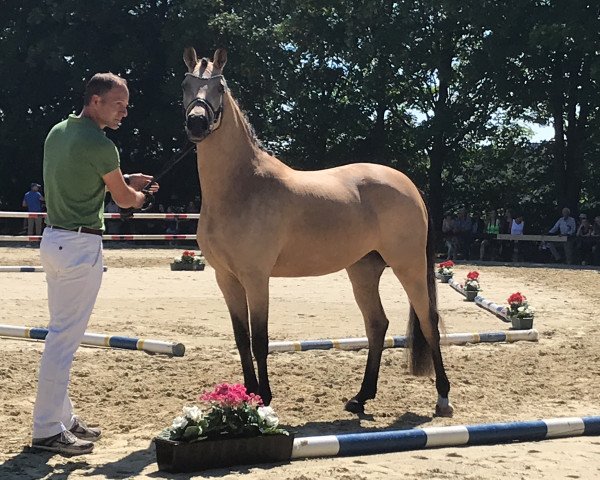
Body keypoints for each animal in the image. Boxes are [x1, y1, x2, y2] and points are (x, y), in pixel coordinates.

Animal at [180, 47, 452, 418]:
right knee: (377, 326)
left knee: (428, 322)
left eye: (220, 87)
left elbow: (259, 339)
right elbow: (241, 339)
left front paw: (263, 399)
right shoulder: (227, 278)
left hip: (408, 267)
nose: (197, 122)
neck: (242, 186)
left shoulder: (256, 278)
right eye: (185, 84)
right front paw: (246, 396)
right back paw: (361, 397)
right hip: (363, 270)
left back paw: (443, 398)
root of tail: (408, 185)